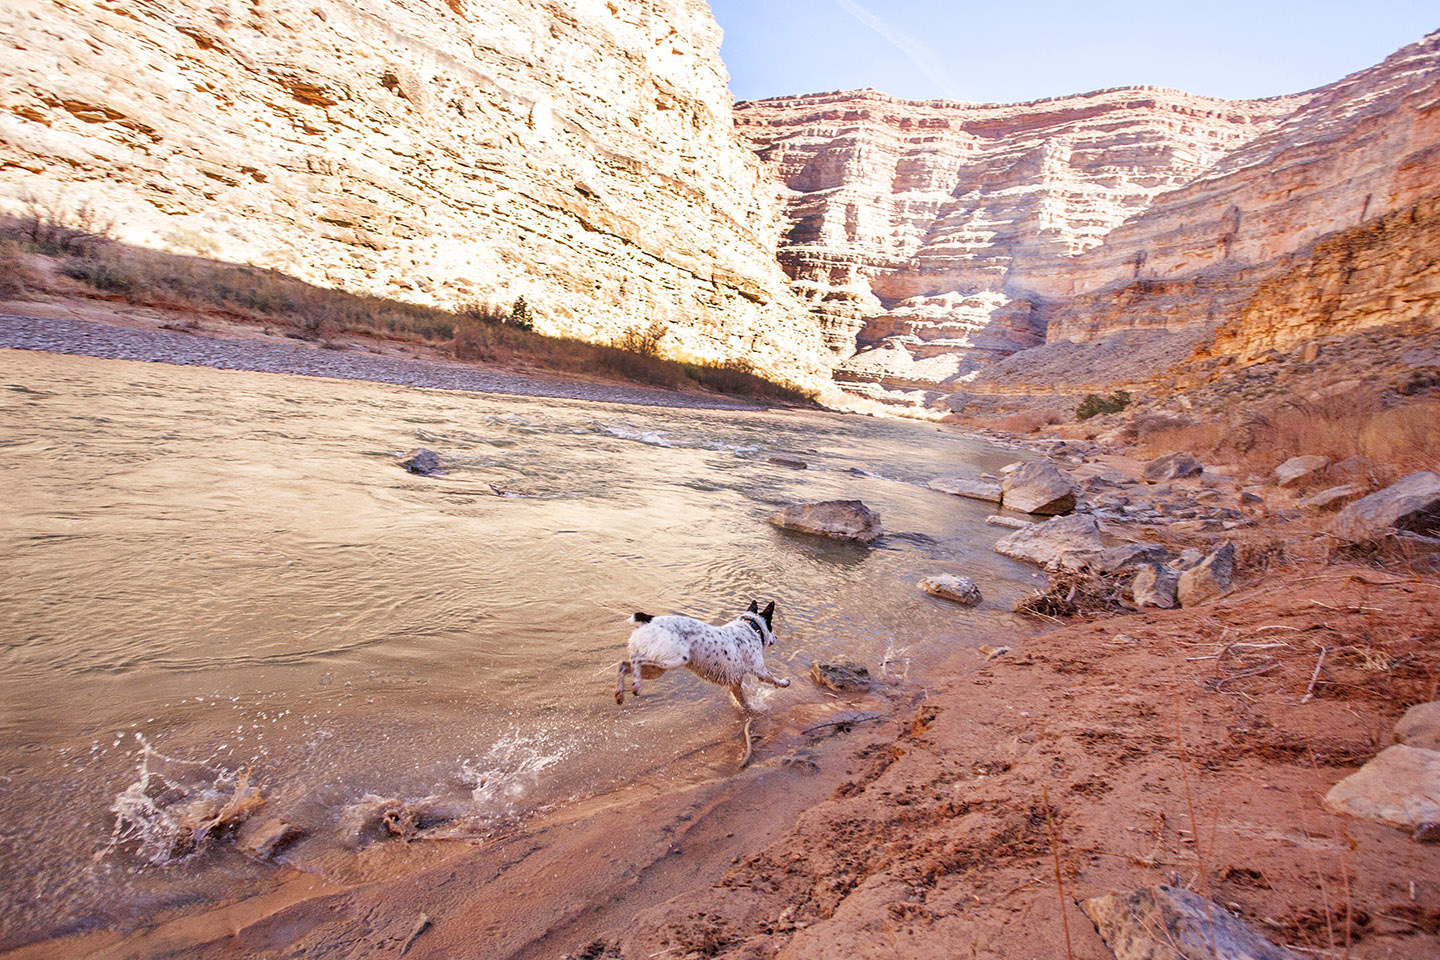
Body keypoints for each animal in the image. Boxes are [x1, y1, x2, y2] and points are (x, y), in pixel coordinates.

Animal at [610, 601, 789, 713]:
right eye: (771, 627)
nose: (776, 638)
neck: (750, 627)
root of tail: (650, 619)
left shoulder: (735, 683)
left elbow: (743, 701)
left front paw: (750, 711)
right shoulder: (760, 670)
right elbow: (772, 679)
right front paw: (784, 682)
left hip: (655, 668)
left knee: (623, 664)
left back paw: (621, 693)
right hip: (672, 660)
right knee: (635, 660)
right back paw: (637, 685)